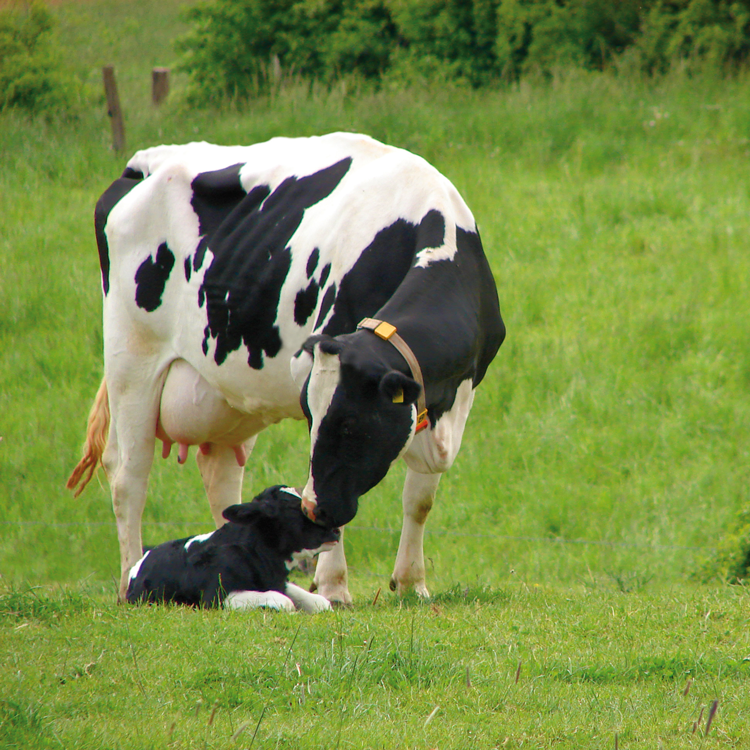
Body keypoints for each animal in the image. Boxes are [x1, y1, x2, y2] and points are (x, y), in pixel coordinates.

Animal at [128, 488, 340, 616]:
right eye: (295, 508)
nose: (336, 529)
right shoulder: (215, 598)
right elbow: (282, 600)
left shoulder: (279, 582)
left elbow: (321, 602)